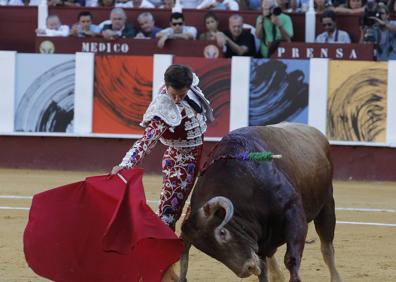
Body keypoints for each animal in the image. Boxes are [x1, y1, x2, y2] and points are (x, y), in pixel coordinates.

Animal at [178, 123, 342, 282]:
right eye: (209, 251)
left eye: (223, 233)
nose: (247, 269)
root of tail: (315, 132)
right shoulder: (259, 237)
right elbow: (263, 269)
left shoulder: (294, 214)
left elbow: (291, 259)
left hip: (327, 204)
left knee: (327, 247)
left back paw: (336, 277)